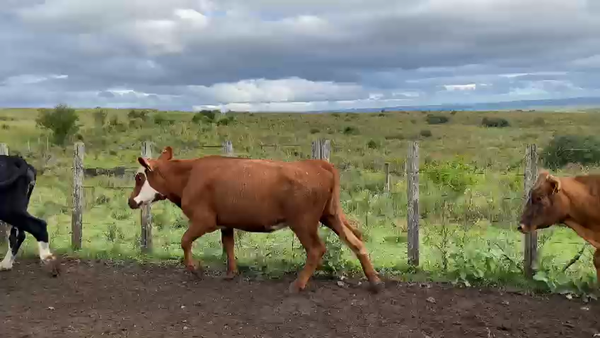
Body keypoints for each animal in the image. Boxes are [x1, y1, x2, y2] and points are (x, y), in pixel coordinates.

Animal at [126, 146, 382, 294]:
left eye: (139, 177)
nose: (130, 201)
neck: (188, 177)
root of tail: (319, 164)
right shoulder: (225, 222)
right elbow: (228, 245)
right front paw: (231, 273)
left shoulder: (204, 220)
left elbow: (185, 240)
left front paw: (194, 268)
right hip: (330, 215)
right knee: (356, 240)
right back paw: (375, 281)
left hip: (304, 222)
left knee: (317, 249)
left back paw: (298, 284)